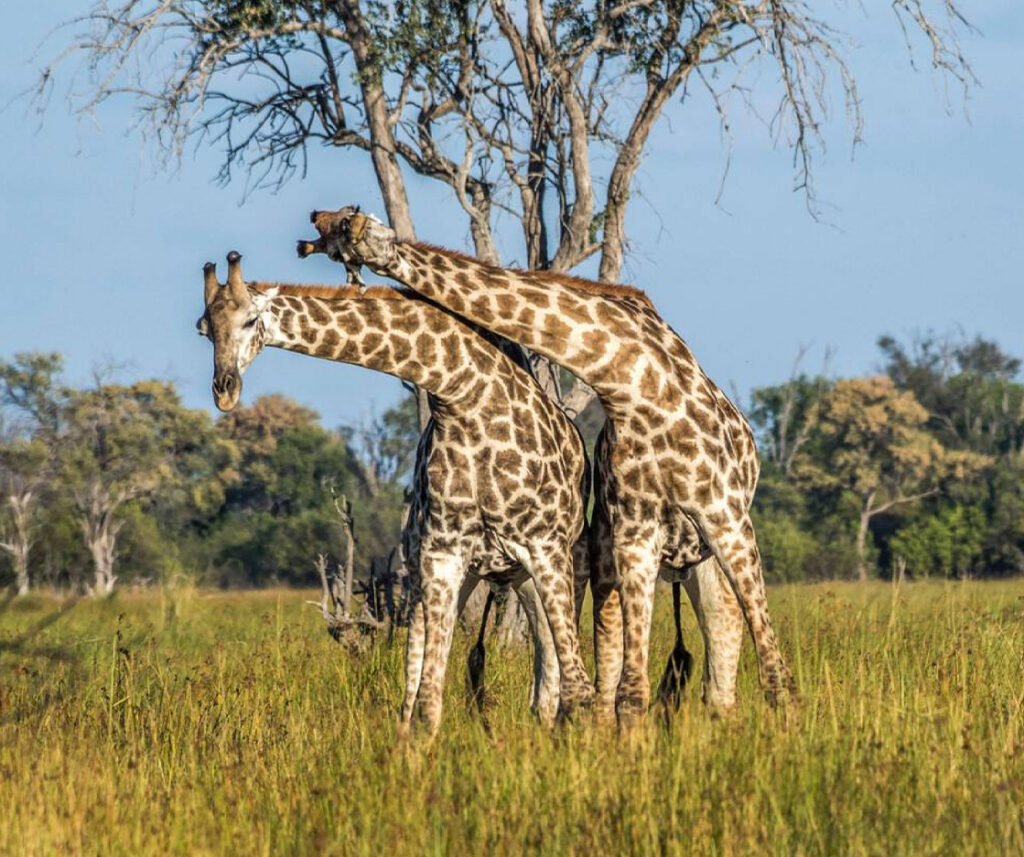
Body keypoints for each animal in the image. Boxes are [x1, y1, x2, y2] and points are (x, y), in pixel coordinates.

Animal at [197, 252, 594, 736]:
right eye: (204, 328)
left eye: (251, 319)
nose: (225, 391)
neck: (462, 399)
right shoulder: (444, 555)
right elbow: (429, 695)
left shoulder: (544, 550)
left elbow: (576, 680)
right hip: (475, 574)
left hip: (560, 562)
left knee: (561, 666)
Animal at [302, 208, 796, 725]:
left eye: (345, 226)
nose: (315, 221)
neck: (632, 381)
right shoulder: (634, 533)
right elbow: (630, 690)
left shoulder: (725, 516)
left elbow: (776, 673)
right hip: (612, 560)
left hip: (703, 549)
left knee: (725, 650)